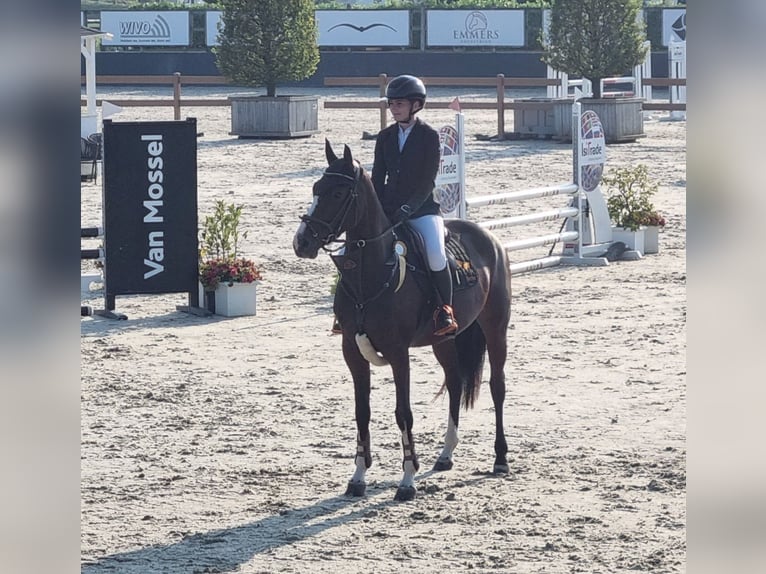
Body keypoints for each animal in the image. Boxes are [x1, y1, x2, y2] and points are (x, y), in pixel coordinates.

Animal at [294, 142, 516, 502]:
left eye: (339, 192)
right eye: (316, 188)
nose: (301, 242)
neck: (369, 275)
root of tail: (489, 238)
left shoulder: (399, 353)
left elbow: (403, 412)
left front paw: (408, 480)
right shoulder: (351, 351)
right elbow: (362, 411)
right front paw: (358, 477)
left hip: (495, 328)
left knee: (498, 386)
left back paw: (500, 459)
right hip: (444, 339)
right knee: (455, 382)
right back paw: (445, 455)